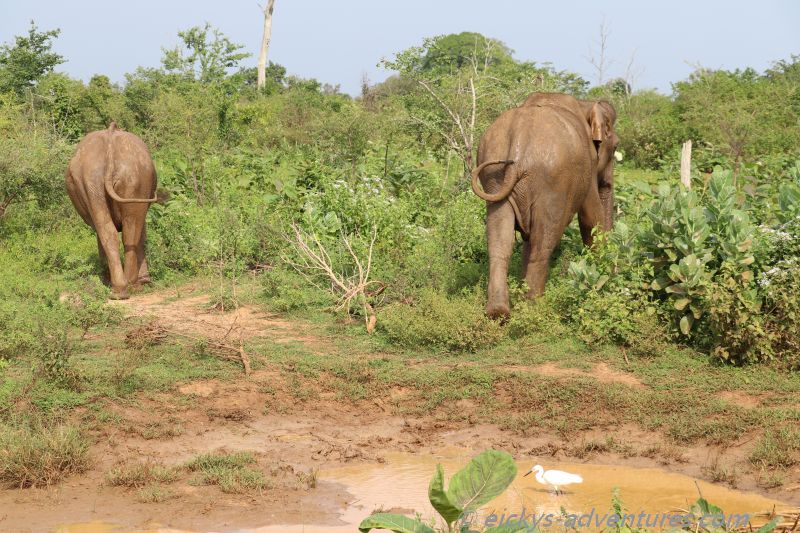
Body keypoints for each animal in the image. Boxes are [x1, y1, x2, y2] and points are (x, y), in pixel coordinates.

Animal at [65, 122, 158, 299]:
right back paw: (126, 288)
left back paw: (123, 289)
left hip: (111, 181)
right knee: (127, 231)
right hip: (122, 180)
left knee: (117, 231)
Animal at [470, 92, 618, 318]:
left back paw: (499, 312)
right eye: (616, 146)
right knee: (544, 241)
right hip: (552, 182)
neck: (584, 103)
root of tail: (519, 137)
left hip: (493, 175)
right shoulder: (589, 167)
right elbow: (590, 218)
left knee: (500, 238)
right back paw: (534, 309)